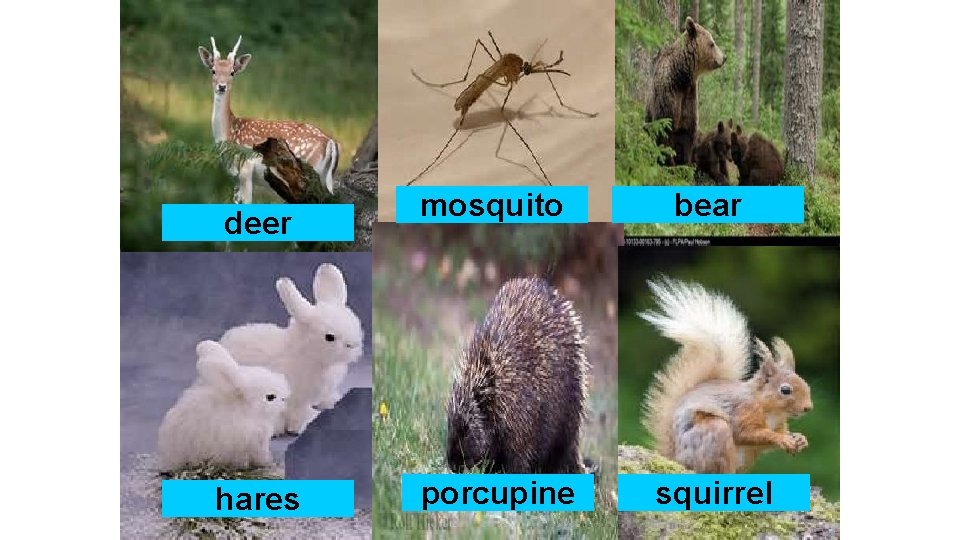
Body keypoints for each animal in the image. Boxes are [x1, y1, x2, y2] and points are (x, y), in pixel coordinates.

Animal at [198, 36, 340, 203]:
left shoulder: (245, 168)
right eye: (213, 70)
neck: (228, 132)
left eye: (232, 72)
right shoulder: (235, 178)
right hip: (326, 178)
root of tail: (331, 142)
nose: (221, 86)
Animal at [638, 277, 813, 474]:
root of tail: (675, 458)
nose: (808, 407)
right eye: (785, 390)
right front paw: (781, 438)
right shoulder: (743, 411)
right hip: (715, 433)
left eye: (805, 384)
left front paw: (799, 439)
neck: (770, 409)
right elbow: (748, 433)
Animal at [646, 17, 725, 166]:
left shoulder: (690, 95)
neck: (682, 76)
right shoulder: (669, 92)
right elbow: (666, 127)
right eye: (712, 44)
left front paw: (685, 163)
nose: (724, 57)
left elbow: (687, 131)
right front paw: (669, 162)